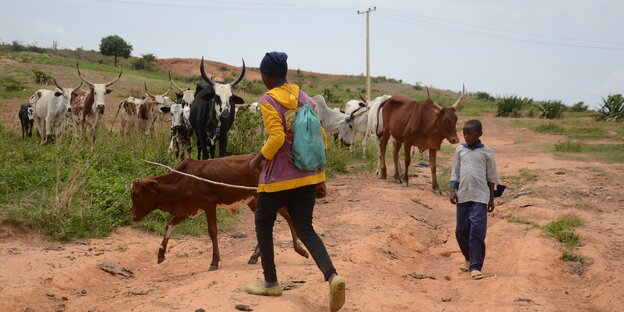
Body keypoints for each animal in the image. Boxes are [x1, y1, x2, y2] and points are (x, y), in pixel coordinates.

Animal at [132, 154, 310, 270]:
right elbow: (169, 225)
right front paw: (160, 255)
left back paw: (299, 249)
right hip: (254, 200)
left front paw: (214, 262)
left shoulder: (209, 204)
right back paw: (255, 256)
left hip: (264, 197)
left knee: (287, 215)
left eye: (137, 195)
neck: (182, 181)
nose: (134, 217)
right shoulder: (189, 209)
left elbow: (212, 232)